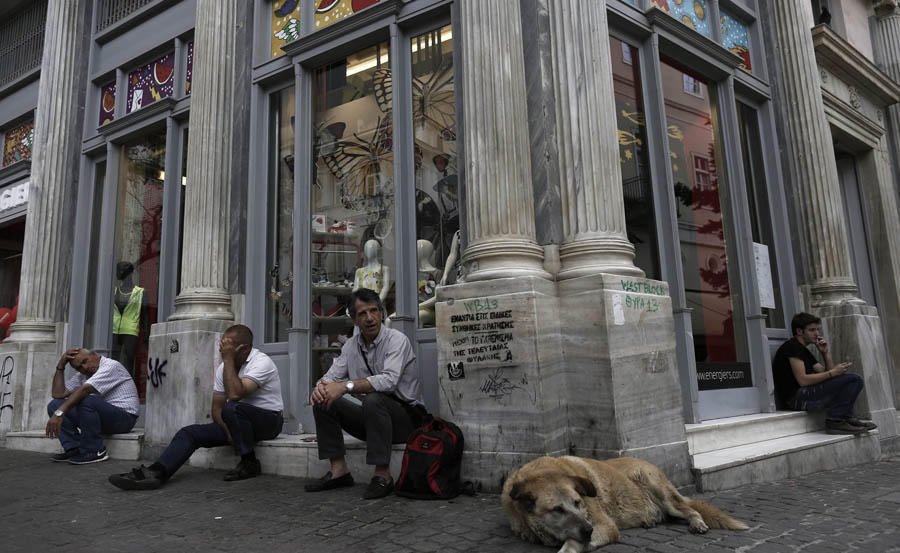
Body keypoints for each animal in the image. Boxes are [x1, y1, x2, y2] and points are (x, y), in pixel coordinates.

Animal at [501, 456, 748, 552]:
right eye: (557, 510)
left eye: (577, 502)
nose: (588, 530)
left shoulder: (605, 526)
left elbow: (573, 542)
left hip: (659, 488)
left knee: (690, 509)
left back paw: (697, 522)